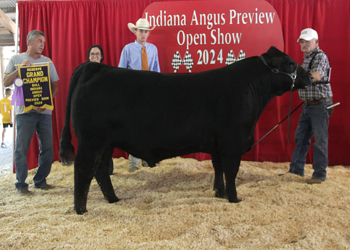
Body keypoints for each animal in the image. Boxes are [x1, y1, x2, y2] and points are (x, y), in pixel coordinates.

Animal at [60, 46, 312, 214]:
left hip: (106, 143)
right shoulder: (232, 142)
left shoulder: (218, 145)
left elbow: (218, 169)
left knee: (101, 171)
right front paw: (234, 198)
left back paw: (113, 199)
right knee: (83, 170)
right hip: (91, 140)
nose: (310, 76)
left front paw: (219, 193)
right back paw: (81, 210)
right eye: (290, 63)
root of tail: (94, 66)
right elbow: (231, 171)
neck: (249, 88)